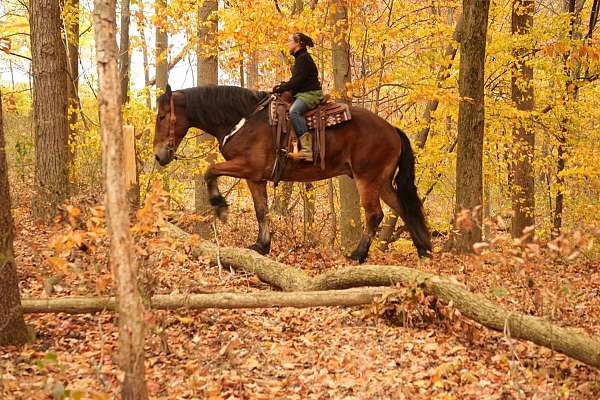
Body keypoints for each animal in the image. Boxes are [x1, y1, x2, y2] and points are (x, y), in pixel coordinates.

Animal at [152, 84, 428, 262]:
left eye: (163, 116)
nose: (158, 155)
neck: (244, 120)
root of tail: (392, 129)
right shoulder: (255, 177)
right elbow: (261, 210)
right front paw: (261, 246)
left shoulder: (247, 166)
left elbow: (210, 171)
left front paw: (220, 206)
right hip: (382, 182)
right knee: (404, 209)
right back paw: (423, 251)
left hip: (367, 179)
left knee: (374, 215)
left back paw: (358, 255)